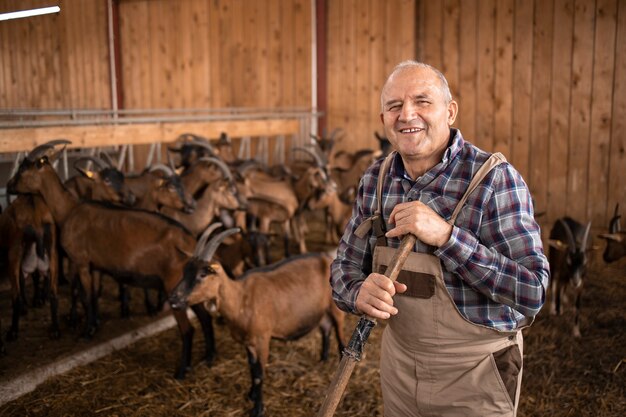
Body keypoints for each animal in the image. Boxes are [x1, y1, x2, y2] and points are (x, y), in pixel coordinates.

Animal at [169, 231, 346, 416]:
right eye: (184, 271)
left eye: (202, 274)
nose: (173, 299)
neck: (240, 298)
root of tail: (326, 257)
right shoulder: (248, 342)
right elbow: (251, 369)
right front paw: (251, 395)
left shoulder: (262, 339)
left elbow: (259, 373)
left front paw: (258, 408)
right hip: (322, 312)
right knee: (325, 329)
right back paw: (323, 359)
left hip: (336, 310)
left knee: (340, 336)